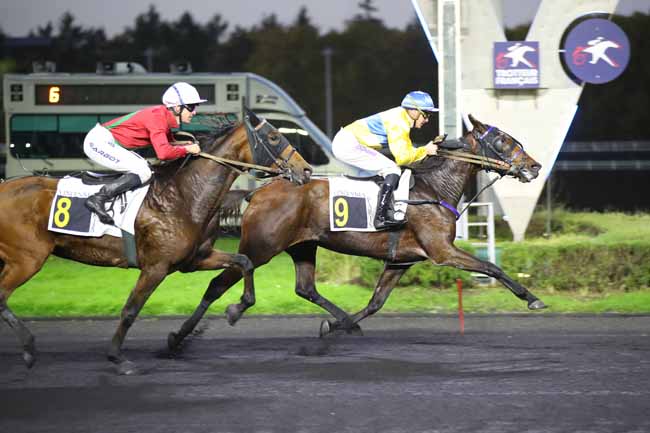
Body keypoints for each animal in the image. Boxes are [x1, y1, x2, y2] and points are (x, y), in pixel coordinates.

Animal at [0, 109, 312, 372]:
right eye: (274, 136)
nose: (307, 170)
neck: (184, 195)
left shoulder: (195, 259)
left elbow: (244, 261)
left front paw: (237, 308)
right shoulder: (155, 267)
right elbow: (130, 310)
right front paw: (117, 357)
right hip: (27, 258)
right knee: (2, 296)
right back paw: (28, 347)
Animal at [167, 113, 540, 346]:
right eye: (503, 141)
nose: (534, 166)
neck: (433, 189)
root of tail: (258, 191)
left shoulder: (401, 259)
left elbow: (376, 302)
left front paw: (336, 326)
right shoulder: (442, 251)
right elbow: (491, 266)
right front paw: (532, 299)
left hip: (302, 245)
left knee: (305, 288)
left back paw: (342, 320)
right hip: (261, 246)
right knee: (219, 283)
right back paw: (182, 335)